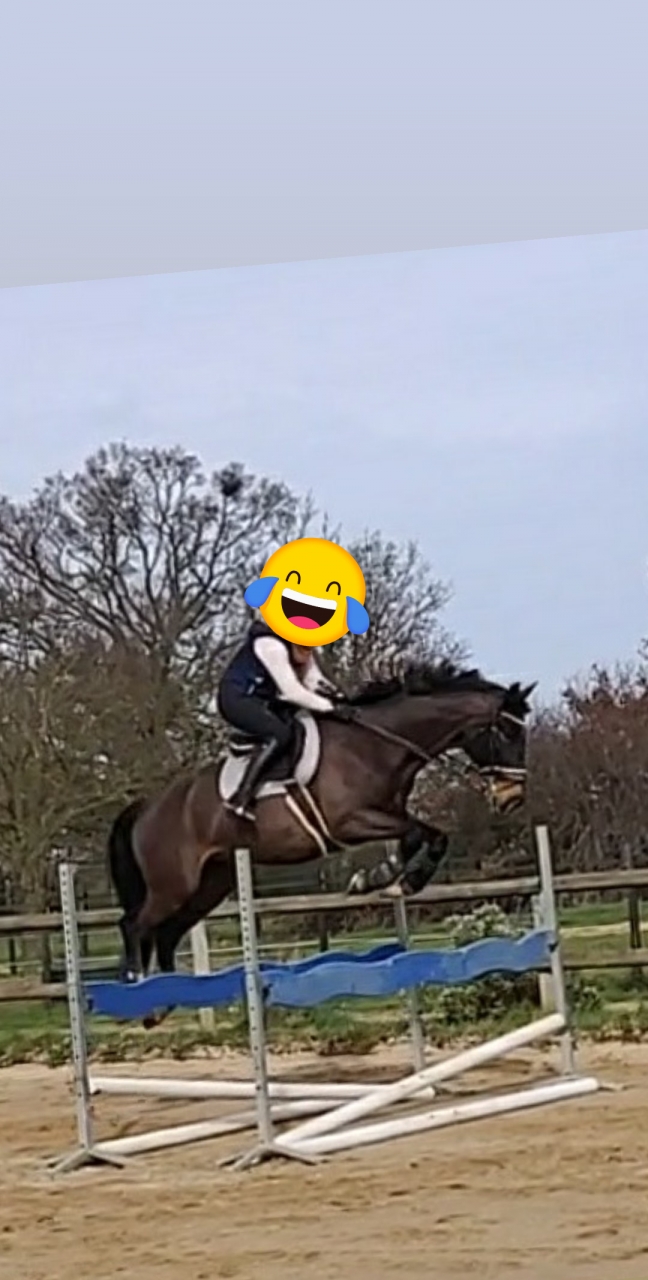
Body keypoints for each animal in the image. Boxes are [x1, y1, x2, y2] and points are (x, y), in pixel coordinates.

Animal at [107, 662, 535, 997]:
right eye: (509, 733)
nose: (513, 798)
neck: (376, 745)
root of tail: (148, 807)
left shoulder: (387, 815)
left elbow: (424, 837)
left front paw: (383, 879)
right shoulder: (350, 822)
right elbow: (423, 835)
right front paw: (386, 881)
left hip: (211, 882)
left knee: (167, 932)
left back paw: (166, 999)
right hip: (173, 883)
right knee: (134, 923)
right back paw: (137, 982)